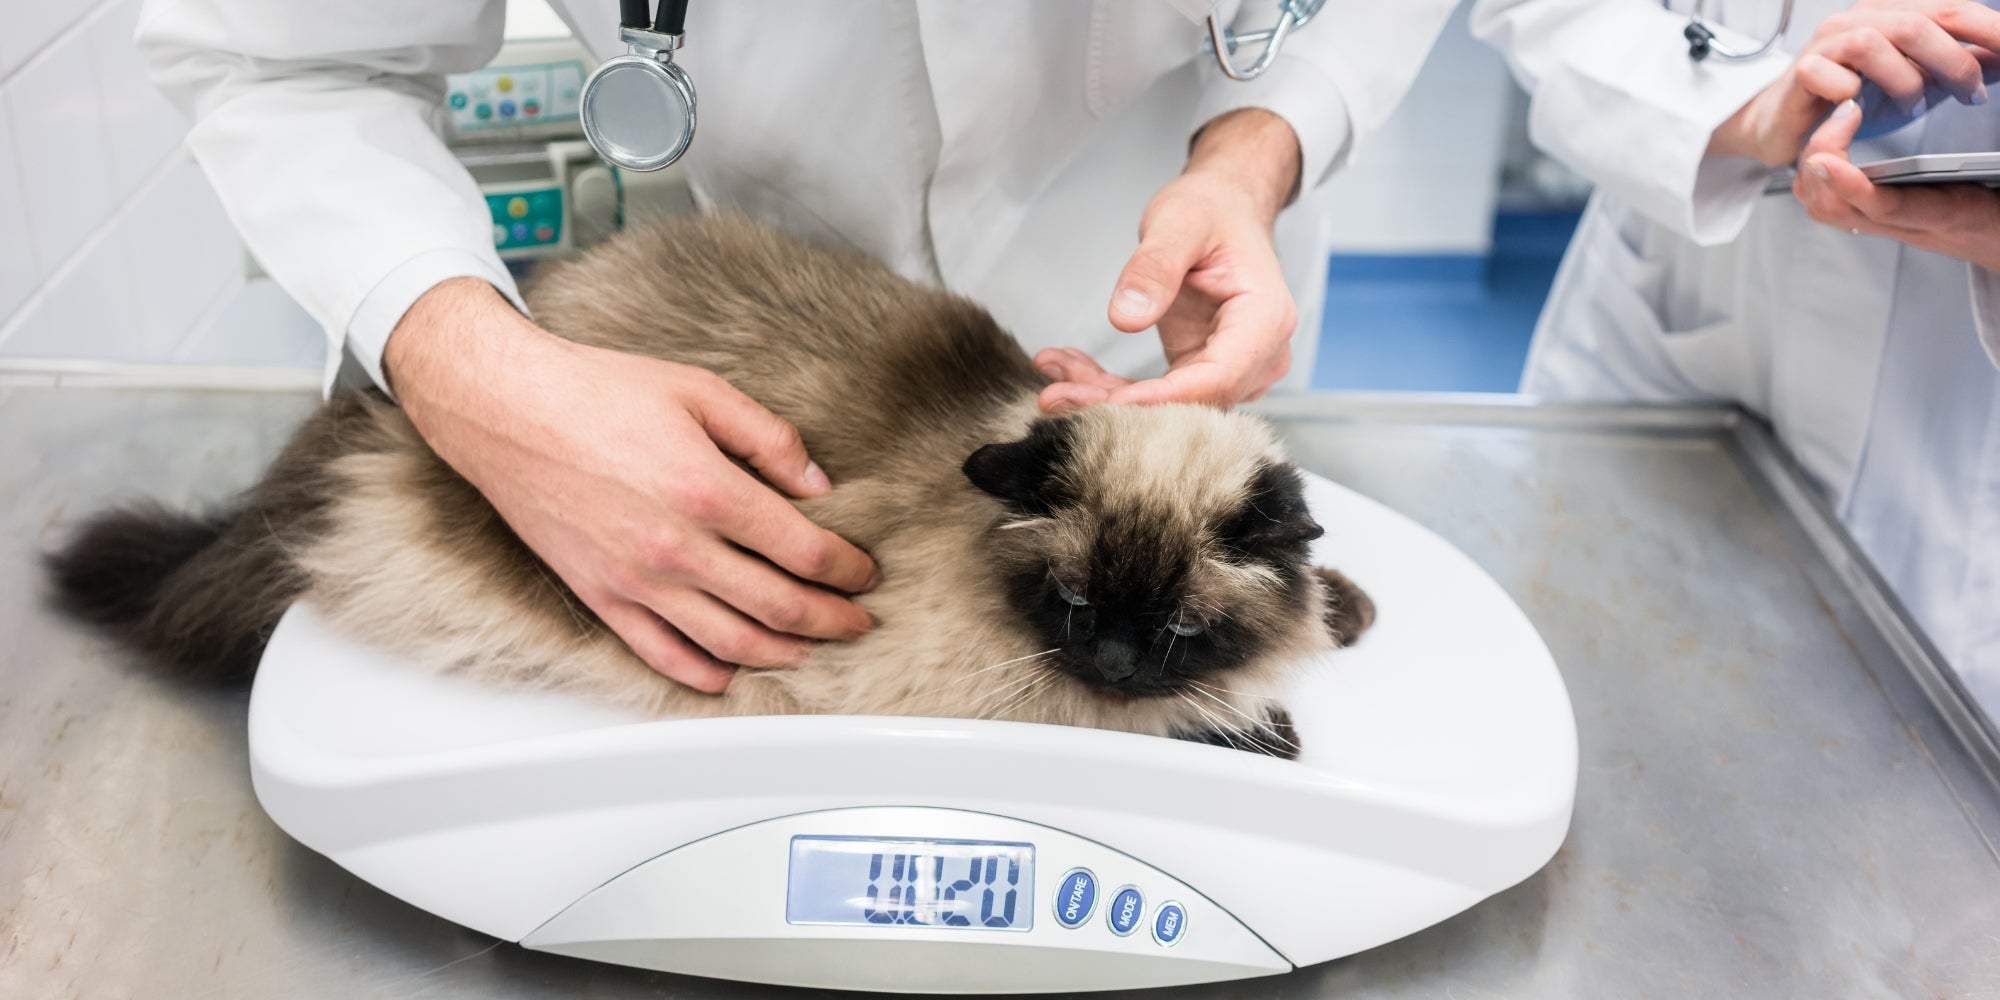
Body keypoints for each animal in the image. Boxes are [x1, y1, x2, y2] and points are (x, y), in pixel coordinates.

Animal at [43, 213, 1376, 756]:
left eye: (1176, 627)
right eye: (1080, 610)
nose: (1111, 662)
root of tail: (385, 416)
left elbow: (1322, 593)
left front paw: (1344, 614)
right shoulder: (1001, 689)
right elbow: (1201, 721)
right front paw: (1268, 727)